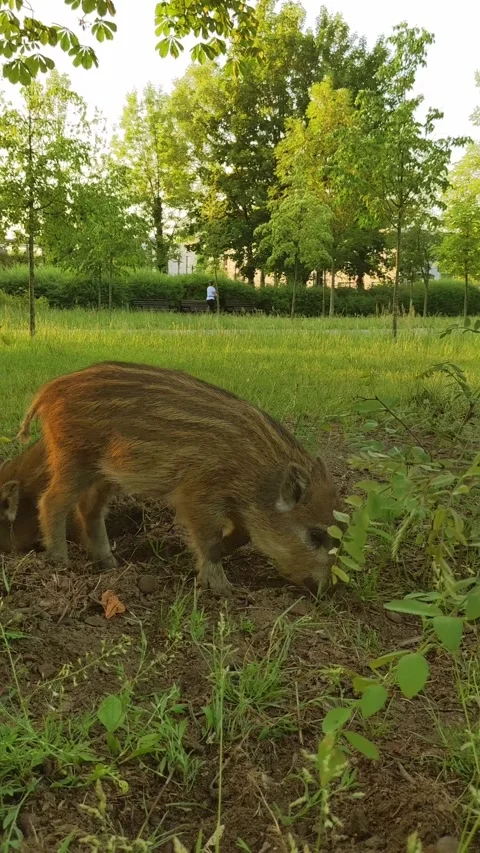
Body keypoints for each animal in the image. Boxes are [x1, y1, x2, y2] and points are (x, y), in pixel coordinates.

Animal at [18, 361, 340, 596]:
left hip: (105, 471)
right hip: (72, 457)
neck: (257, 475)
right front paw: (223, 590)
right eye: (315, 535)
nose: (326, 592)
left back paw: (109, 564)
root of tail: (48, 390)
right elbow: (209, 540)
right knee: (52, 501)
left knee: (89, 509)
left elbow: (241, 535)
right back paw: (60, 561)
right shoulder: (198, 493)